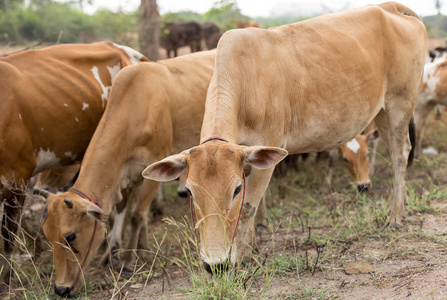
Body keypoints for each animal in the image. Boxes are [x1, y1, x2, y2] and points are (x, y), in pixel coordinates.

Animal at [0, 41, 150, 284]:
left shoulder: (17, 177)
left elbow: (8, 233)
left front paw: (5, 278)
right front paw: (37, 249)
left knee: (123, 201)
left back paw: (114, 251)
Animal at [39, 50, 216, 296]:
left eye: (70, 236)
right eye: (47, 234)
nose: (60, 289)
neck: (134, 109)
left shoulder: (153, 170)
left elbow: (137, 215)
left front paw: (129, 260)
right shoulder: (126, 178)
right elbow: (122, 210)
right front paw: (121, 251)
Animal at [143, 2, 428, 274]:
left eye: (235, 190)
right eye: (191, 192)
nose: (215, 264)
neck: (245, 84)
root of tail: (393, 7)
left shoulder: (270, 146)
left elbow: (249, 207)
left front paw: (240, 258)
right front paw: (251, 246)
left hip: (400, 103)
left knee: (400, 155)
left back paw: (395, 215)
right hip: (381, 112)